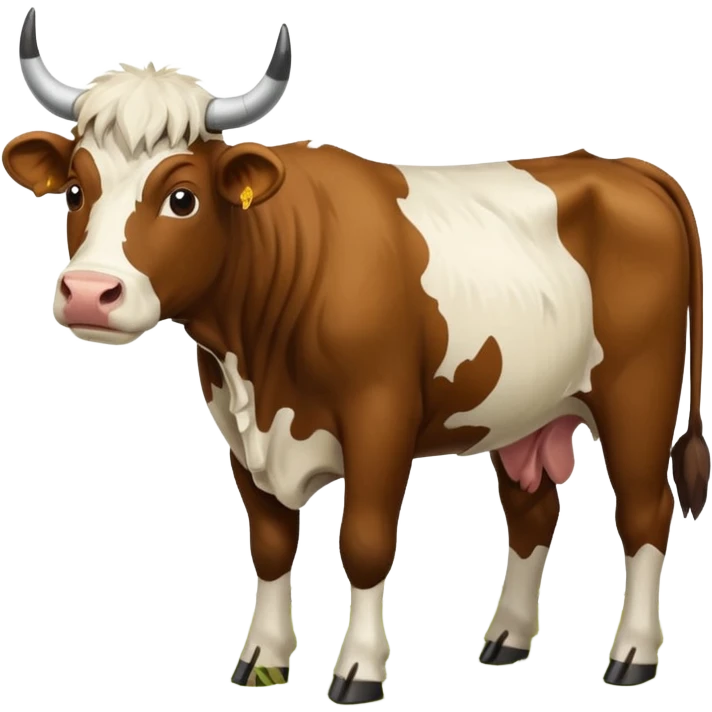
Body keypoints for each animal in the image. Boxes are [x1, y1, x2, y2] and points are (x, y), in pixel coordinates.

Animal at [4, 8, 710, 701]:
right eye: (74, 191)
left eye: (183, 198)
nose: (87, 293)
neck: (258, 364)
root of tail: (626, 167)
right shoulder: (238, 429)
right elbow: (270, 544)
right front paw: (263, 658)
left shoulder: (381, 417)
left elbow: (364, 543)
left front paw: (360, 670)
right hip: (524, 408)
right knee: (533, 513)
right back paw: (506, 639)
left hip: (638, 393)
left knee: (645, 513)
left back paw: (633, 655)